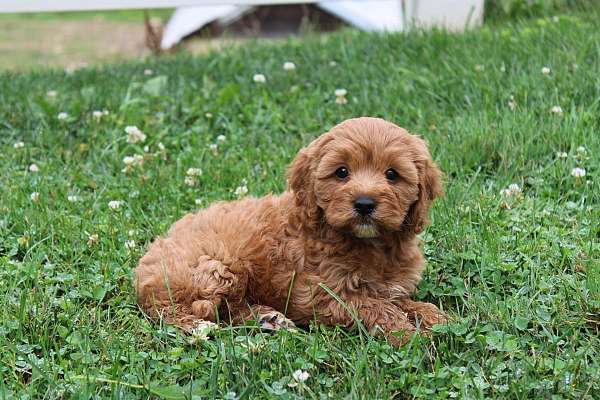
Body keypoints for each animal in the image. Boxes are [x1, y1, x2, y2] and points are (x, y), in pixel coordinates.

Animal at [136, 117, 446, 346]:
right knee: (172, 309)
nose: (364, 204)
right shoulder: (320, 294)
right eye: (342, 172)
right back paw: (196, 326)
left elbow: (404, 302)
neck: (369, 243)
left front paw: (438, 319)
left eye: (392, 174)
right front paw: (407, 334)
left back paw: (269, 320)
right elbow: (376, 307)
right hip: (216, 267)